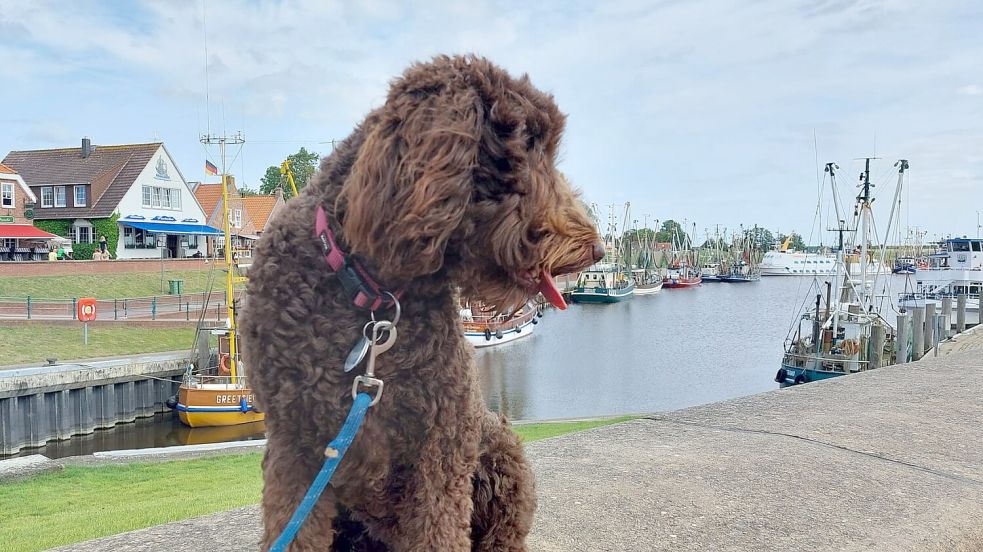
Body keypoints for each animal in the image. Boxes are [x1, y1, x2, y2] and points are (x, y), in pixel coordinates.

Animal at [242, 52, 604, 552]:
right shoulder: (293, 445)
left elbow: (439, 530)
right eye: (526, 147)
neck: (372, 299)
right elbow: (292, 531)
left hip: (500, 448)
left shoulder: (442, 444)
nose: (597, 250)